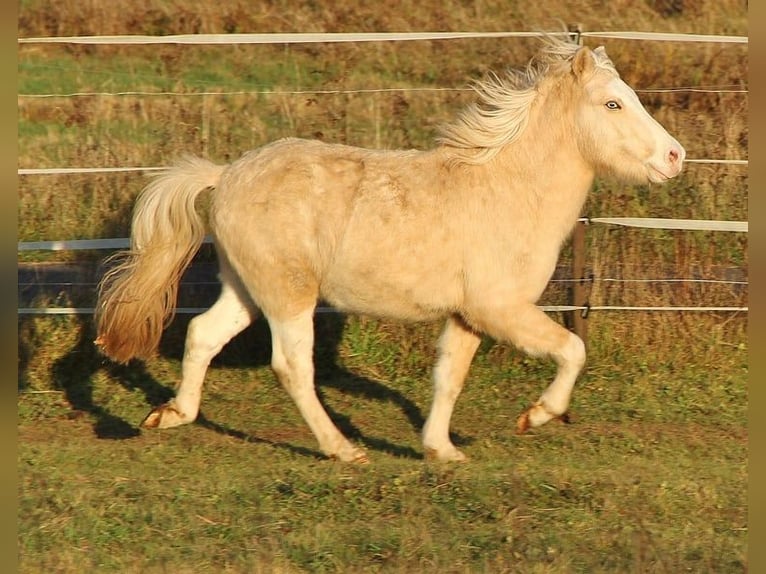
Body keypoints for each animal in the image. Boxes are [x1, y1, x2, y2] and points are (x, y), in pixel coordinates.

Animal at [93, 38, 688, 466]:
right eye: (613, 103)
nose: (675, 157)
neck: (509, 190)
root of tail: (225, 176)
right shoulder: (501, 309)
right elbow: (572, 350)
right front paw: (537, 415)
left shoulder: (468, 316)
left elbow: (449, 378)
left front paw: (441, 450)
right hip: (289, 296)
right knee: (291, 366)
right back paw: (343, 450)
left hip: (248, 288)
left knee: (202, 334)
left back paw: (170, 415)